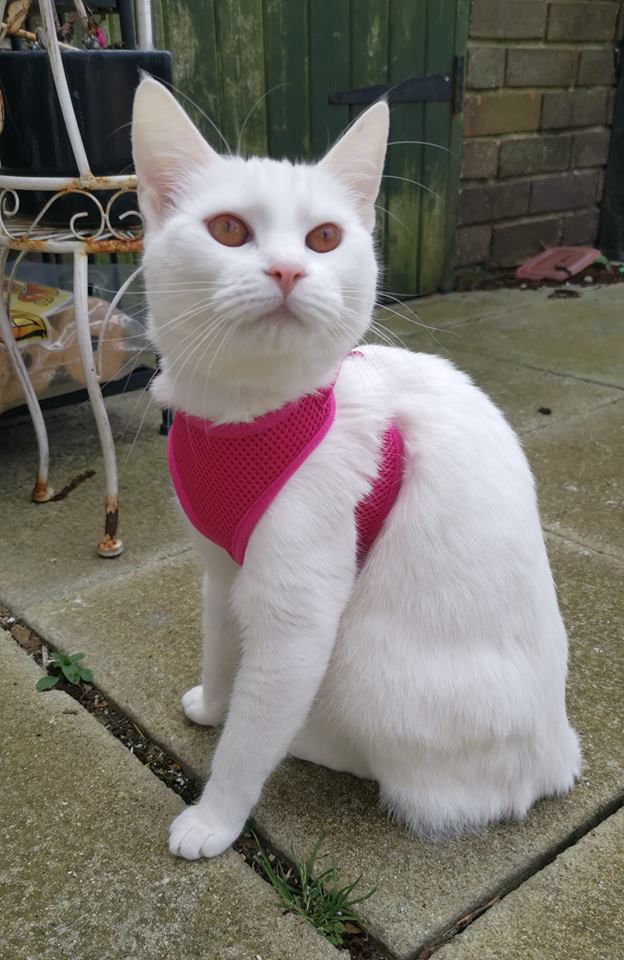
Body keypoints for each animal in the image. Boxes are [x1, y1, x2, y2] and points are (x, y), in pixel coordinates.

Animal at [131, 78, 581, 860]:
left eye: (323, 238)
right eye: (228, 230)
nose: (287, 270)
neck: (247, 416)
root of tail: (560, 755)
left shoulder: (298, 615)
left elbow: (250, 737)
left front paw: (215, 817)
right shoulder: (221, 569)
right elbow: (220, 646)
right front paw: (213, 705)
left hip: (361, 661)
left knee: (409, 778)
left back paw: (309, 740)